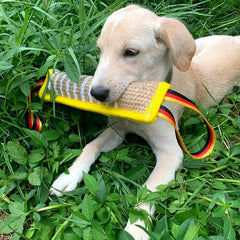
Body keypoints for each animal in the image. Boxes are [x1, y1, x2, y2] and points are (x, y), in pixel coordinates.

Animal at [50, 4, 240, 240]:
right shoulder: (116, 131)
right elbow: (90, 146)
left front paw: (135, 227)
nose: (97, 94)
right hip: (196, 44)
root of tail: (235, 40)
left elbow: (148, 190)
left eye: (131, 52)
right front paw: (70, 175)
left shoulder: (171, 152)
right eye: (100, 50)